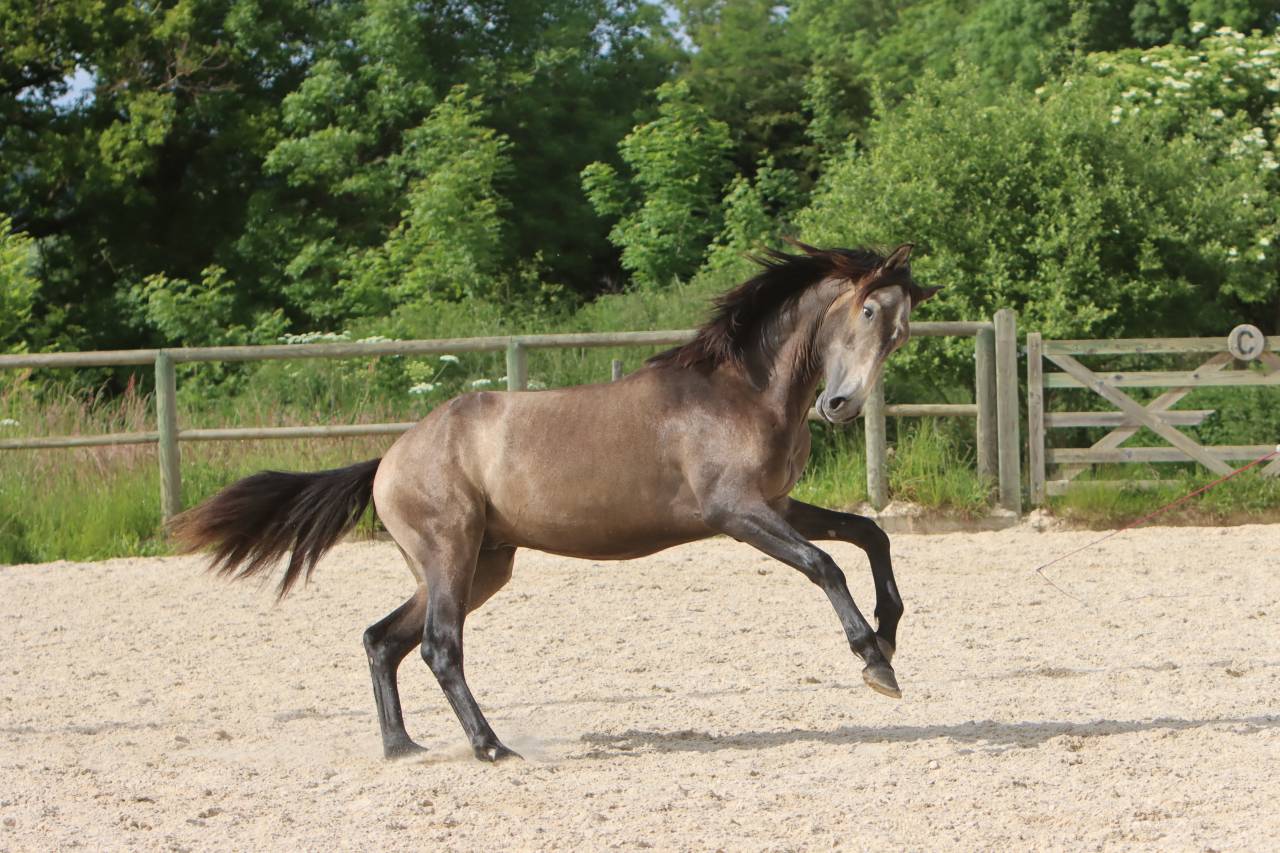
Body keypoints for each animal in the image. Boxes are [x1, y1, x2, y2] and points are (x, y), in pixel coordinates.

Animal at [172, 241, 939, 762]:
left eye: (900, 333)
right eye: (867, 309)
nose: (840, 406)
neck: (740, 391)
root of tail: (389, 459)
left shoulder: (777, 503)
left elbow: (870, 535)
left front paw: (890, 636)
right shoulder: (736, 514)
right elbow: (824, 564)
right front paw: (874, 662)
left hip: (483, 564)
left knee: (382, 638)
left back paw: (403, 748)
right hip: (452, 554)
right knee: (439, 645)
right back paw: (490, 747)